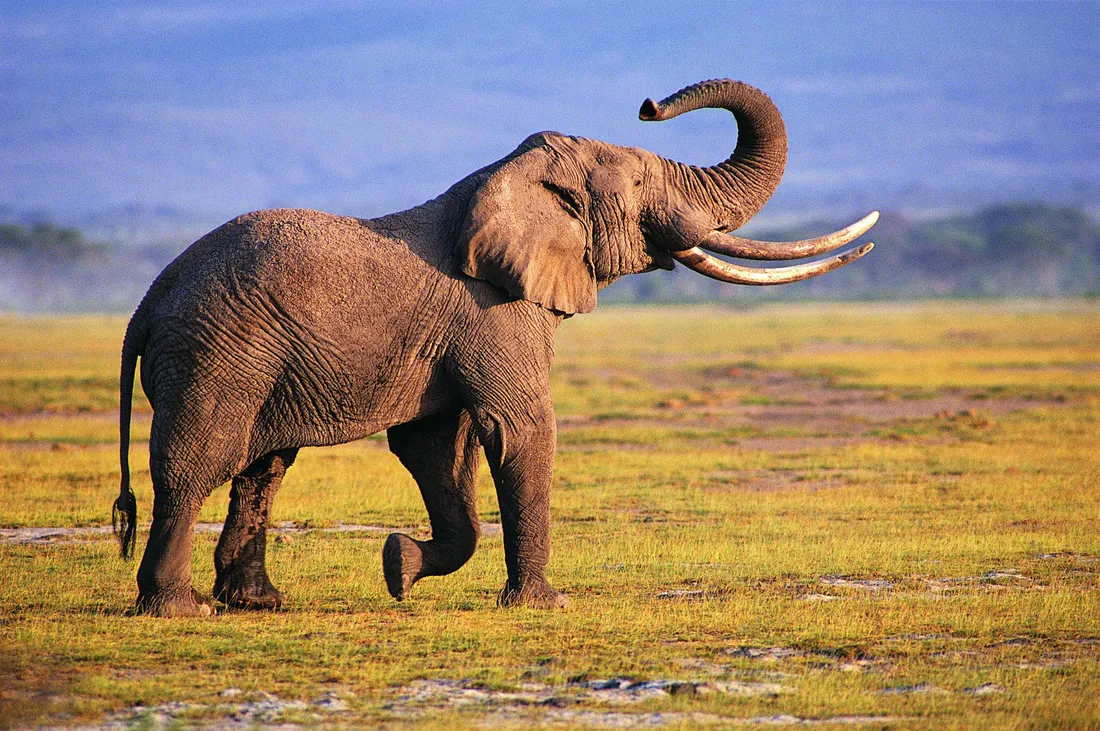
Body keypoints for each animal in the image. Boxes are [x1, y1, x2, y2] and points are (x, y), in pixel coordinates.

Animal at [111, 78, 876, 616]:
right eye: (640, 184)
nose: (649, 103)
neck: (506, 178)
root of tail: (148, 301)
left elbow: (435, 449)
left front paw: (398, 565)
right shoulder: (495, 313)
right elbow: (520, 428)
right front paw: (544, 603)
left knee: (262, 466)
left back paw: (260, 602)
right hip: (217, 350)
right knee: (199, 461)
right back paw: (177, 609)